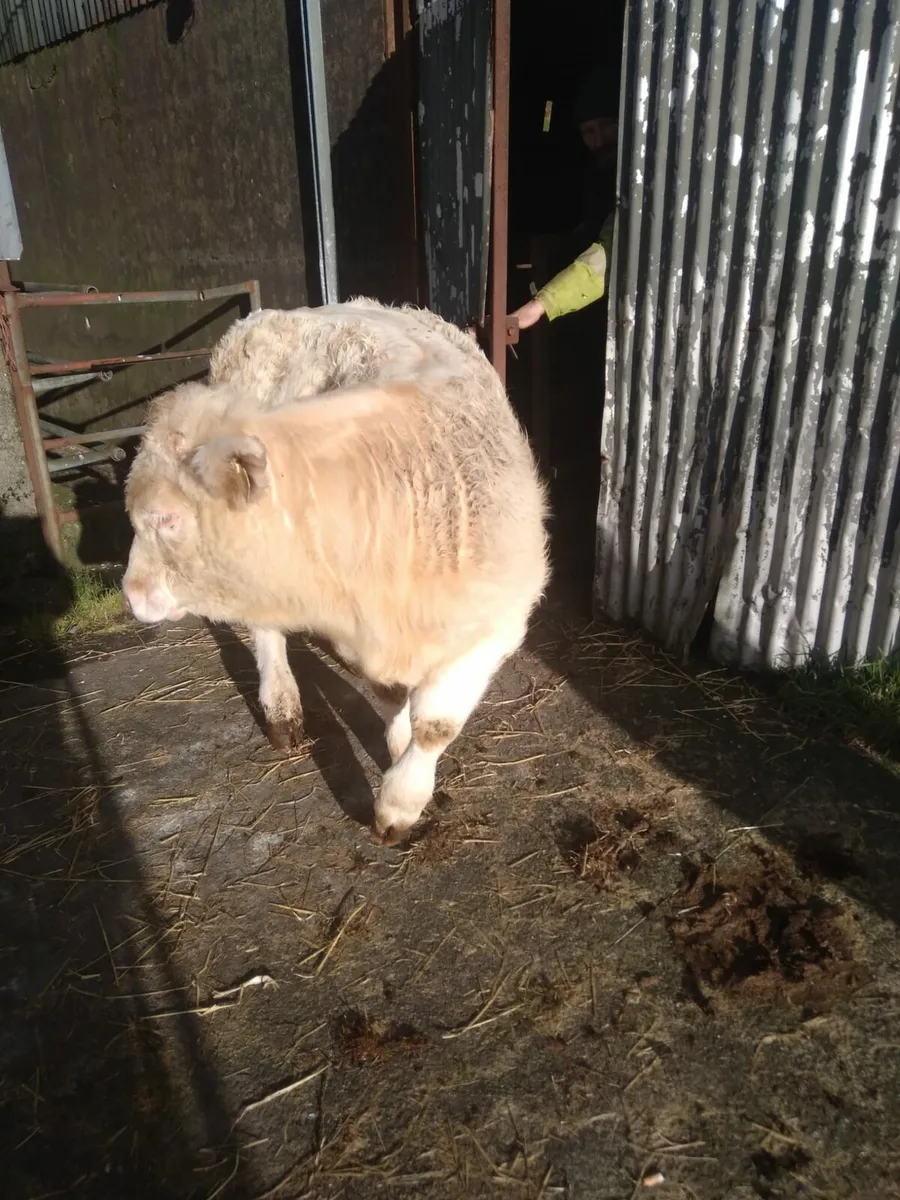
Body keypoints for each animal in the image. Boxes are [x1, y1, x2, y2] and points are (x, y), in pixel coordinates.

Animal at [122, 299, 549, 843]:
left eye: (166, 518)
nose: (130, 593)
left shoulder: (492, 625)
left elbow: (434, 725)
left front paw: (400, 789)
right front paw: (399, 784)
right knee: (266, 631)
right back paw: (281, 707)